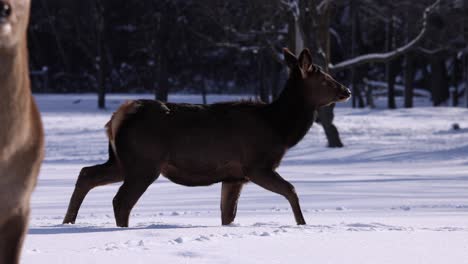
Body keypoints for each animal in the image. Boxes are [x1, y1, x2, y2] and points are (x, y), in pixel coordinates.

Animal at [64, 48, 352, 228]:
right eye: (325, 79)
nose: (347, 91)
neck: (280, 128)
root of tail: (117, 117)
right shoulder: (256, 165)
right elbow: (292, 190)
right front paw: (303, 225)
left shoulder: (234, 176)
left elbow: (228, 214)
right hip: (143, 163)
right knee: (120, 201)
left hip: (122, 161)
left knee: (86, 173)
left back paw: (67, 222)